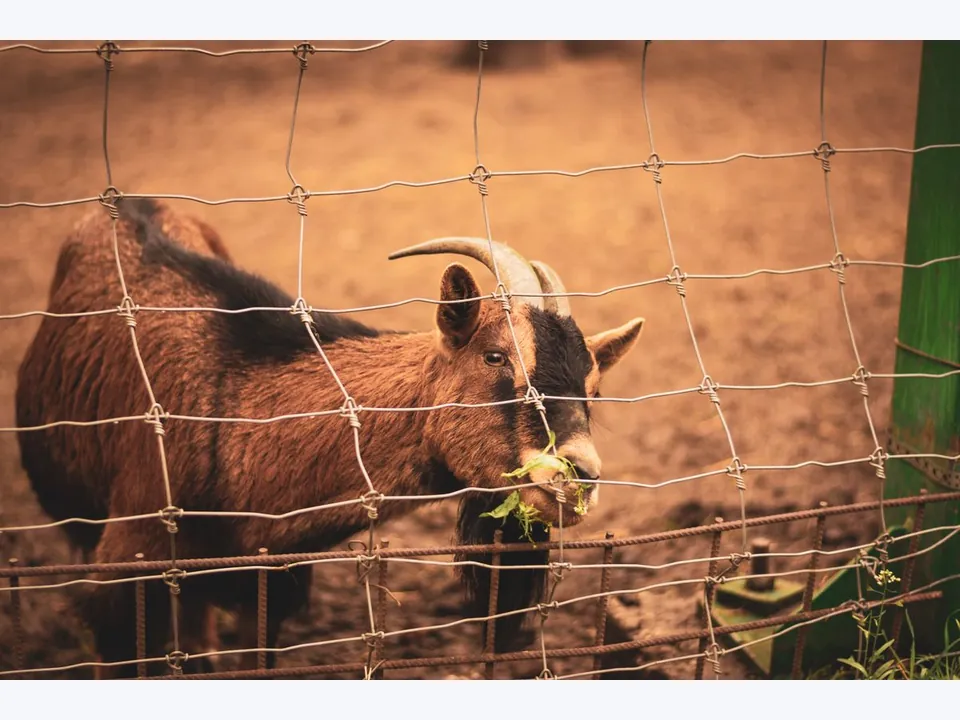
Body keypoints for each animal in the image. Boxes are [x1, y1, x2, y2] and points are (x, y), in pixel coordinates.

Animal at [15, 198, 645, 677]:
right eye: (495, 356)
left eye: (594, 387)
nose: (579, 476)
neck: (234, 413)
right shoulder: (120, 578)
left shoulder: (271, 582)